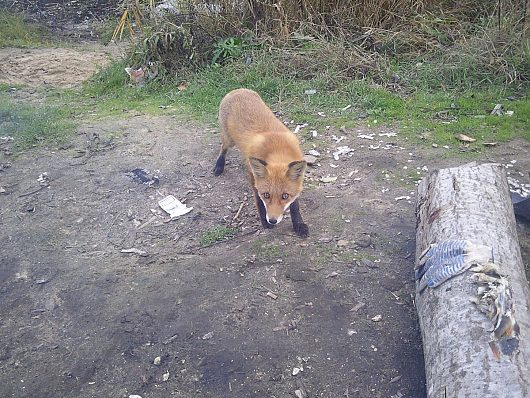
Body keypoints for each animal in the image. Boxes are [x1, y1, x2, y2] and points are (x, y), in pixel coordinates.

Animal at [212, 88, 308, 236]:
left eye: (285, 196)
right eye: (266, 195)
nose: (273, 220)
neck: (277, 149)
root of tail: (237, 90)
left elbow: (295, 206)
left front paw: (298, 224)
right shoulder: (252, 175)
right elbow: (259, 201)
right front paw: (264, 221)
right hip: (229, 140)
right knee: (223, 147)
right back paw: (219, 166)